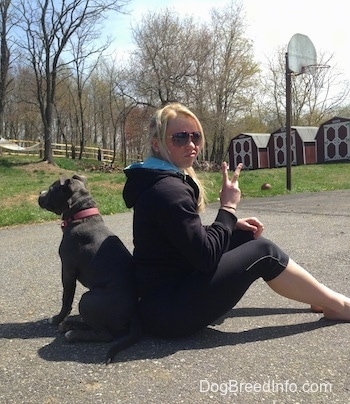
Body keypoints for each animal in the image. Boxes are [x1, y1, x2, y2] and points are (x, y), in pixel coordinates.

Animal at [38, 174, 141, 362]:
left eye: (51, 189)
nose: (39, 194)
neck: (81, 215)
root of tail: (135, 314)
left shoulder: (67, 270)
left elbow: (66, 298)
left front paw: (57, 319)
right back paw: (70, 325)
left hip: (88, 299)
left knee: (106, 335)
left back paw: (72, 333)